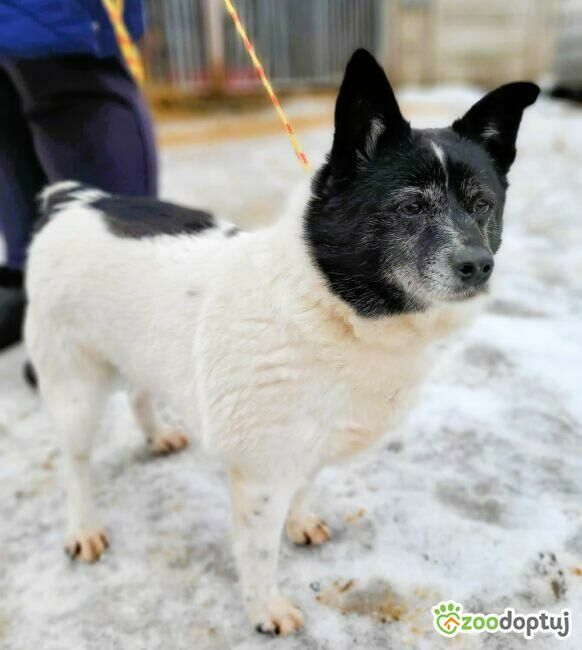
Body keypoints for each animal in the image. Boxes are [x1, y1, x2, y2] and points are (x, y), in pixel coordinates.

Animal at [25, 49, 538, 635]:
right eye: (411, 207)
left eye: (483, 204)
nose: (479, 265)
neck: (333, 308)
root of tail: (74, 199)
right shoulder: (261, 473)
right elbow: (258, 551)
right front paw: (264, 608)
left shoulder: (312, 446)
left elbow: (306, 484)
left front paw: (300, 521)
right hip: (74, 387)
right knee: (76, 463)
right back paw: (82, 528)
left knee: (139, 390)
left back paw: (157, 435)